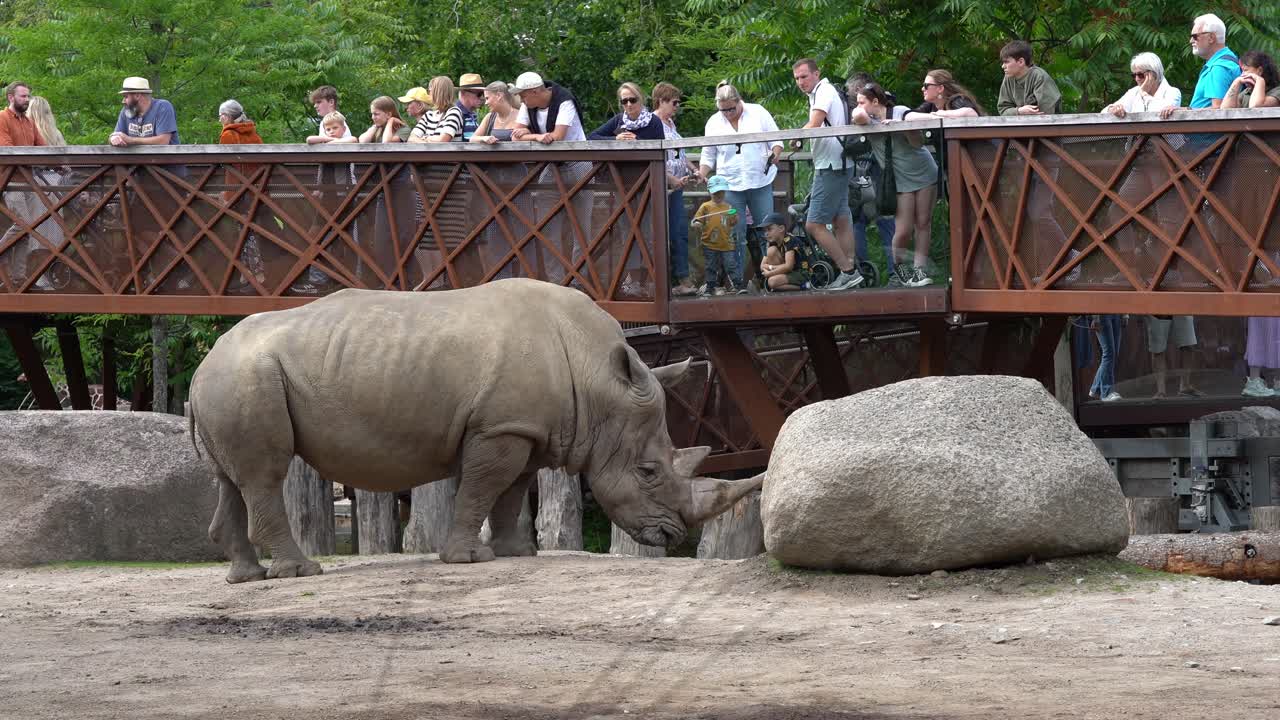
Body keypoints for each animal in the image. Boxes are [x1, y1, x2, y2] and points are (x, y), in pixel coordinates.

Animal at [189, 278, 761, 583]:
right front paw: (469, 559)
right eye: (647, 472)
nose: (671, 536)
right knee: (265, 474)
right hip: (247, 377)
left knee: (231, 478)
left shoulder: (526, 429)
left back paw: (246, 578)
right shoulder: (499, 429)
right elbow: (483, 488)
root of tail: (199, 368)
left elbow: (510, 492)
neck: (598, 382)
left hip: (234, 380)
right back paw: (300, 574)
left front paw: (516, 554)